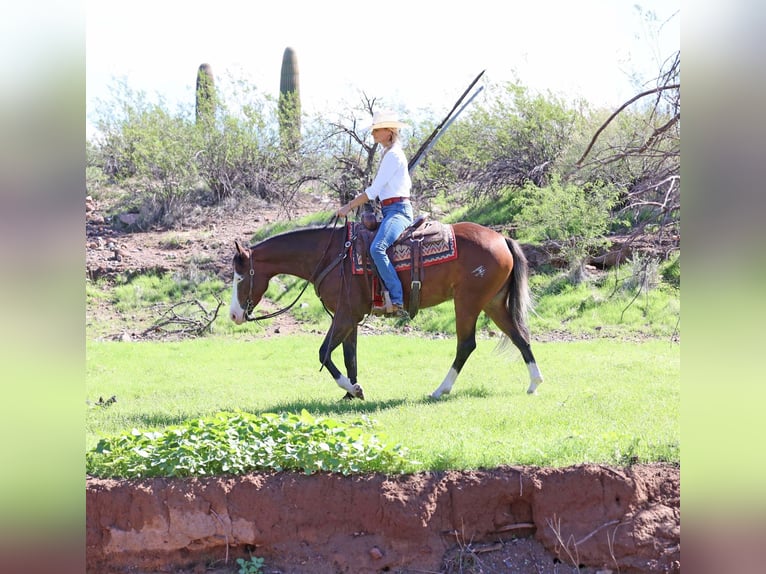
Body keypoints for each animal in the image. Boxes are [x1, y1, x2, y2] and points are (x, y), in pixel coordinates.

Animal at [229, 219, 544, 400]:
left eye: (240, 276)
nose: (233, 315)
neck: (332, 255)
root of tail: (502, 238)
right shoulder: (350, 318)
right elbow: (349, 356)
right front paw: (352, 395)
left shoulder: (346, 315)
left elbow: (323, 353)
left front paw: (351, 389)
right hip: (493, 303)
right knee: (520, 336)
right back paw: (534, 383)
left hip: (467, 302)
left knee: (466, 344)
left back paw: (440, 390)